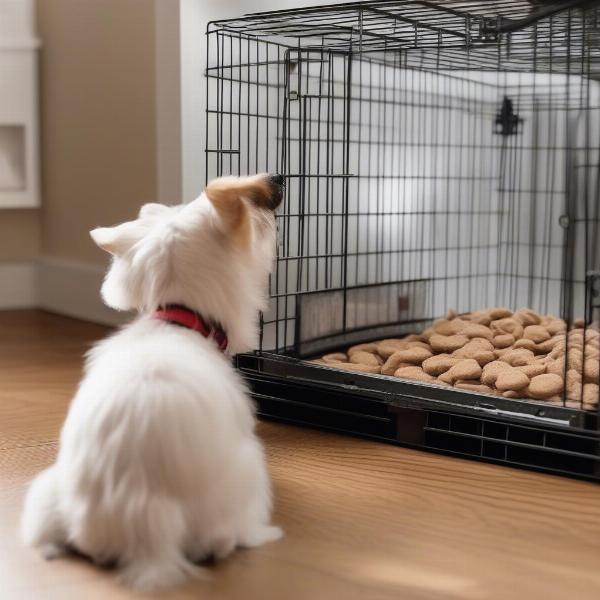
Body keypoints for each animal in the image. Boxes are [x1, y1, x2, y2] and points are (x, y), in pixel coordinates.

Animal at [22, 172, 284, 592]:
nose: (277, 177)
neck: (180, 320)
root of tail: (146, 530)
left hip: (49, 489)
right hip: (248, 471)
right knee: (228, 535)